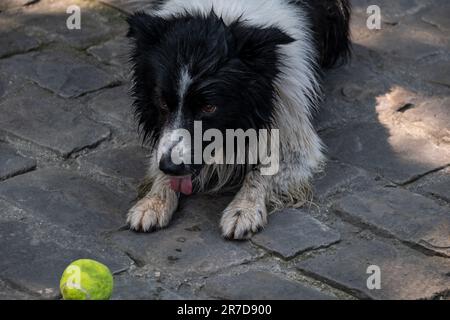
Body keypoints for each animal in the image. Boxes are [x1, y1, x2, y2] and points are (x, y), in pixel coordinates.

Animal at [125, 0, 352, 239]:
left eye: (209, 107)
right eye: (162, 102)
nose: (170, 166)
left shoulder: (291, 121)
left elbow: (265, 168)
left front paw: (243, 210)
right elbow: (161, 156)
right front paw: (152, 203)